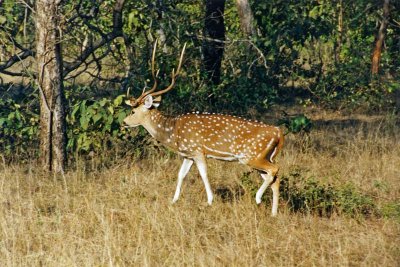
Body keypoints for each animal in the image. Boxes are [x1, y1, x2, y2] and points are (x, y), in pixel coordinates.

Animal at [123, 43, 282, 217]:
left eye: (132, 111)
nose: (124, 122)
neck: (173, 133)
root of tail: (279, 133)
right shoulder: (188, 154)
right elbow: (180, 174)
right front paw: (173, 200)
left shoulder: (198, 151)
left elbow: (204, 174)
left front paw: (210, 201)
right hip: (263, 157)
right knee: (275, 178)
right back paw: (273, 213)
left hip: (251, 156)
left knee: (275, 170)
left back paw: (258, 198)